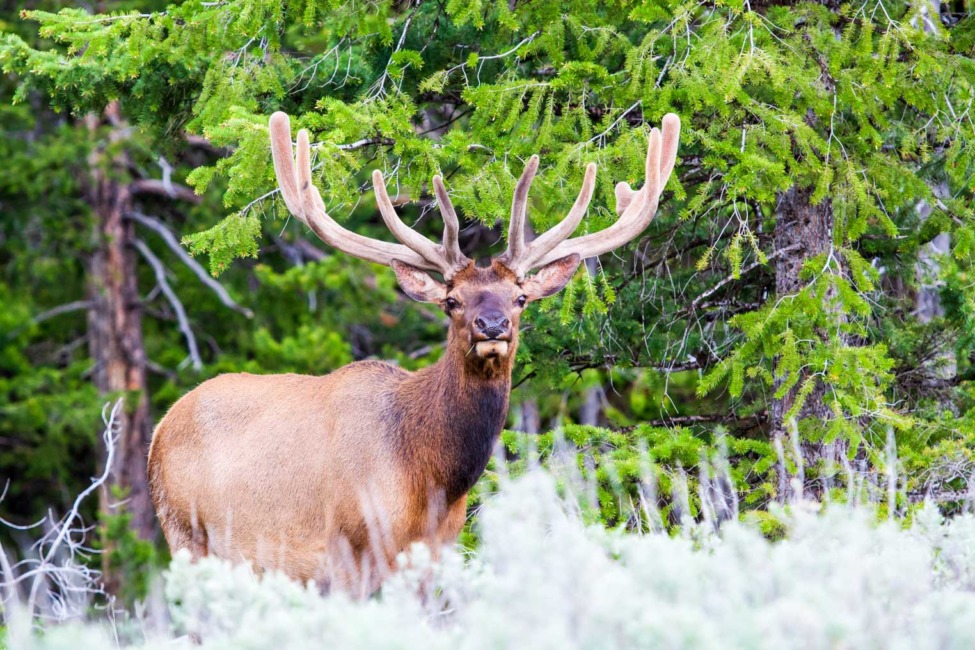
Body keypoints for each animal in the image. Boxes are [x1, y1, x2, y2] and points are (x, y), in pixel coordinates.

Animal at [147, 110, 680, 595]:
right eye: (452, 301)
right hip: (186, 534)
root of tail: (159, 429)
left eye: (520, 298)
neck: (427, 476)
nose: (492, 325)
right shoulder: (346, 550)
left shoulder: (436, 551)